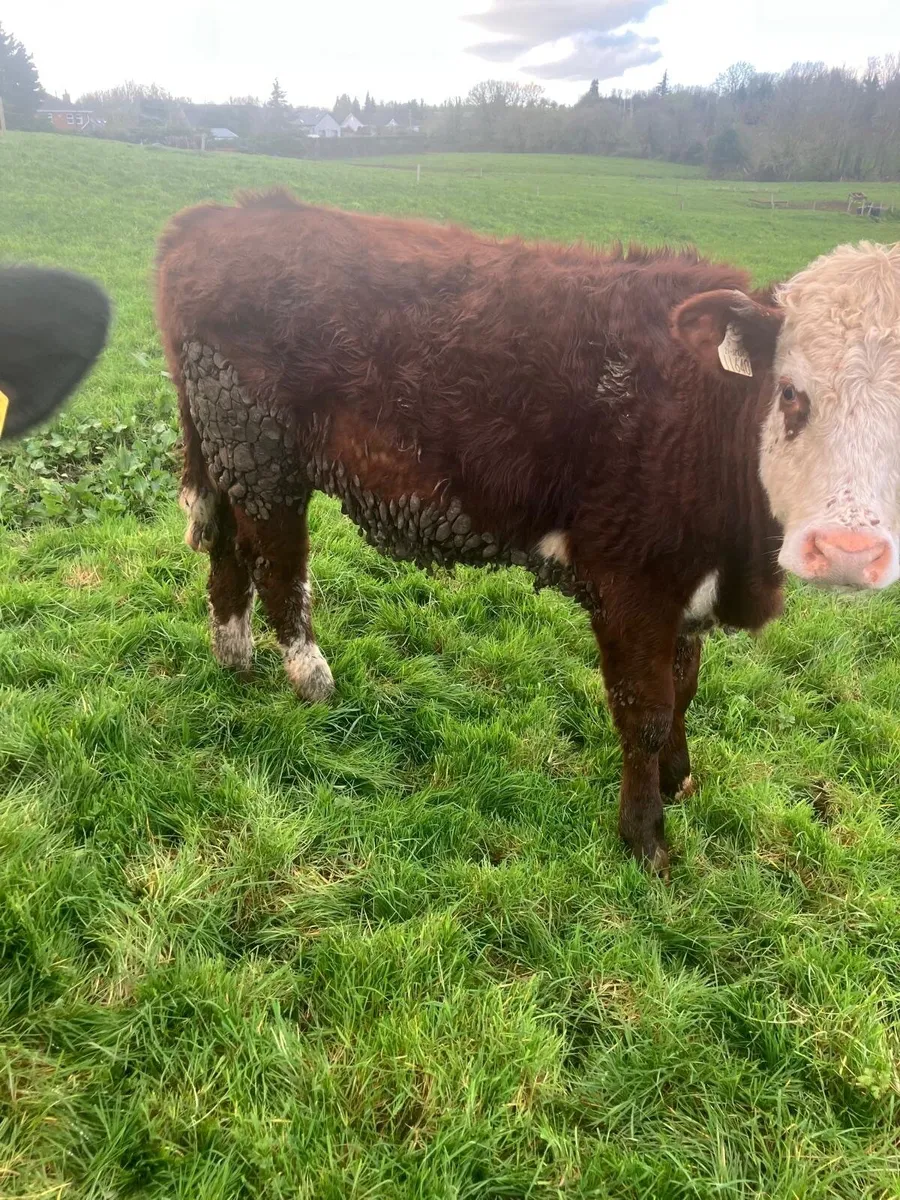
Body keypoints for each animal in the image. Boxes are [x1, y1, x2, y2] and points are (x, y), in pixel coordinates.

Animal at [155, 190, 900, 872]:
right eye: (790, 392)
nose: (846, 549)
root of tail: (219, 216)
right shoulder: (632, 584)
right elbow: (646, 710)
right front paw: (645, 837)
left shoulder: (685, 582)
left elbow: (684, 688)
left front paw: (678, 778)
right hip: (261, 452)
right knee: (277, 564)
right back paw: (309, 677)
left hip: (232, 455)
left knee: (227, 553)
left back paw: (235, 657)